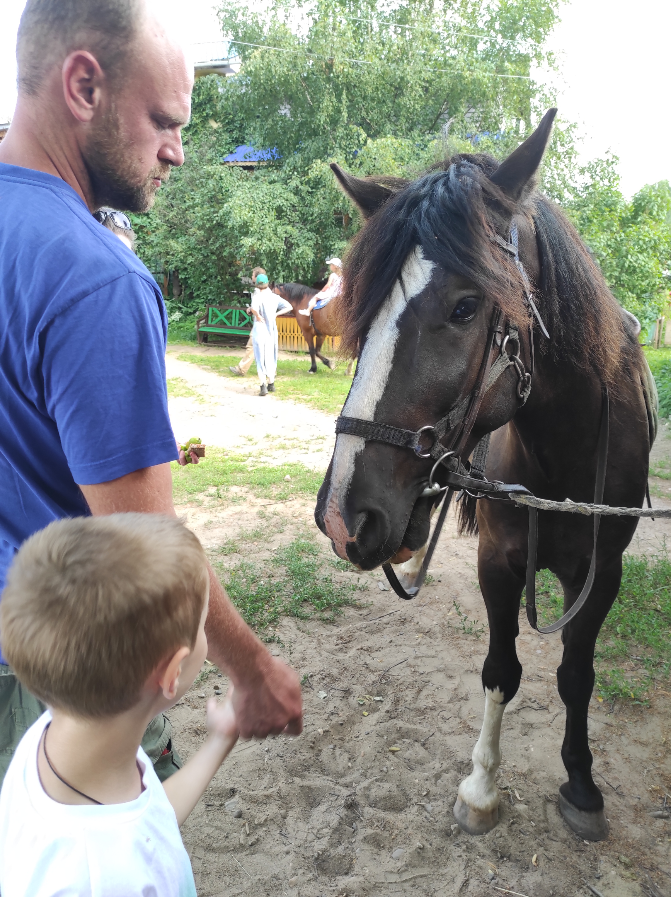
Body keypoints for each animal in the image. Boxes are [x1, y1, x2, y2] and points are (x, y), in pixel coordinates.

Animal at [315, 109, 657, 843]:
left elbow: (576, 674)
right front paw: (480, 787)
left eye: (466, 306)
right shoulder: (497, 562)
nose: (341, 515)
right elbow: (501, 670)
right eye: (365, 306)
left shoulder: (602, 574)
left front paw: (581, 784)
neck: (564, 454)